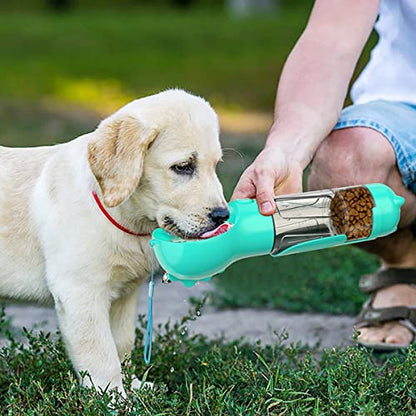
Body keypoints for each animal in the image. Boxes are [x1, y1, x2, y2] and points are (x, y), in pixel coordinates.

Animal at [0, 89, 228, 394]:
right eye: (183, 167)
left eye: (215, 166)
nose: (223, 215)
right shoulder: (80, 291)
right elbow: (100, 353)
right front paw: (112, 396)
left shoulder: (124, 295)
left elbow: (122, 344)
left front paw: (133, 386)